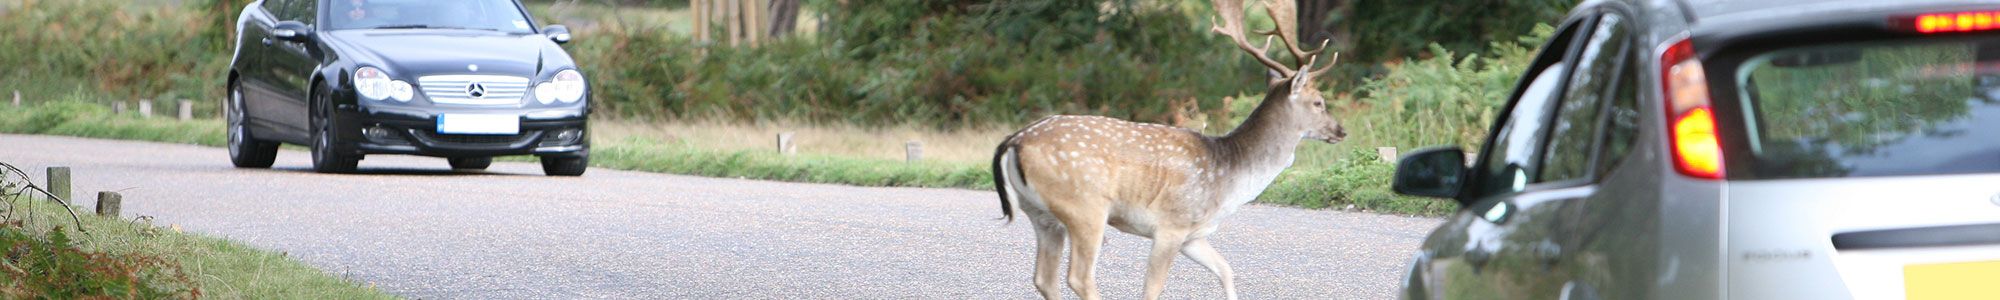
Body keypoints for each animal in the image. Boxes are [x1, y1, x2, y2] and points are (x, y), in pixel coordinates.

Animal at [988, 1, 1344, 298]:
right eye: (1318, 102)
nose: (1341, 130)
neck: (1230, 177)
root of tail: (1015, 140)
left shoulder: (1194, 234)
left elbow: (1226, 271)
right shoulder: (1171, 224)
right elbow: (1153, 288)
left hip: (1042, 215)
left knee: (1043, 278)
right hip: (1084, 206)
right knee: (1079, 277)